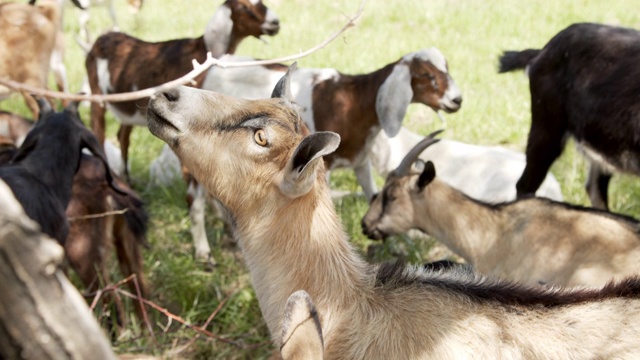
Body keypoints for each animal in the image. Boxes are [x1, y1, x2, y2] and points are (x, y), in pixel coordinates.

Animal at [85, 0, 280, 180]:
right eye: (243, 7)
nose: (275, 23)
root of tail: (100, 40)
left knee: (123, 136)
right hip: (96, 93)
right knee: (98, 131)